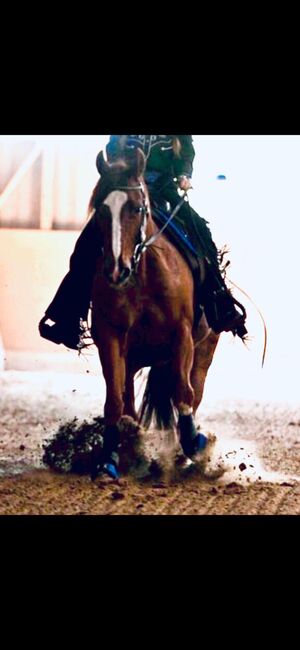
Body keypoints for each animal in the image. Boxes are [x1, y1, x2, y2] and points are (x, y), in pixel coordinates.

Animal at [90, 149, 219, 478]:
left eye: (136, 208)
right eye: (101, 210)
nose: (116, 270)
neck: (143, 275)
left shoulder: (181, 335)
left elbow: (183, 394)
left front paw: (195, 445)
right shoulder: (110, 335)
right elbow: (114, 402)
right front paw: (107, 461)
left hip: (203, 352)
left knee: (195, 391)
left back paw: (184, 454)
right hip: (134, 357)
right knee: (128, 401)